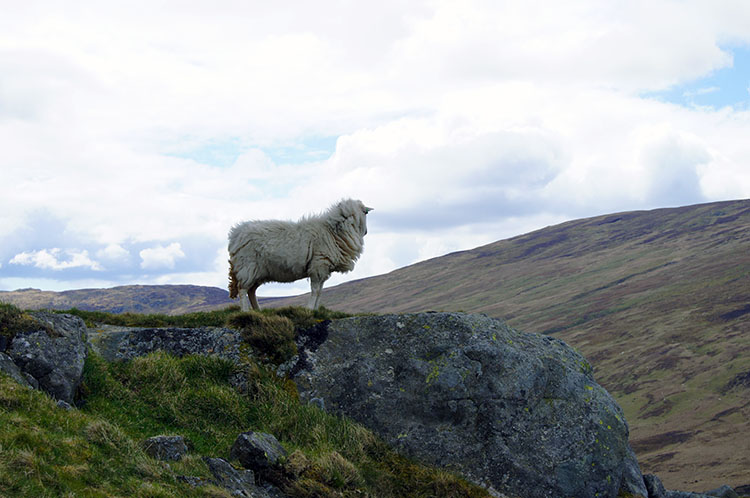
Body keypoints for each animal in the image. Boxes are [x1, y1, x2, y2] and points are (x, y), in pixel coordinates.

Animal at [226, 199, 374, 312]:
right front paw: (309, 309)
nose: (366, 232)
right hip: (248, 267)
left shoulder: (323, 270)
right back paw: (245, 311)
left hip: (258, 272)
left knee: (251, 291)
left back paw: (258, 310)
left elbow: (320, 292)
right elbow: (315, 290)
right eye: (365, 212)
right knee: (242, 289)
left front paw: (315, 310)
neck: (333, 231)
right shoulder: (318, 265)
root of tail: (235, 234)